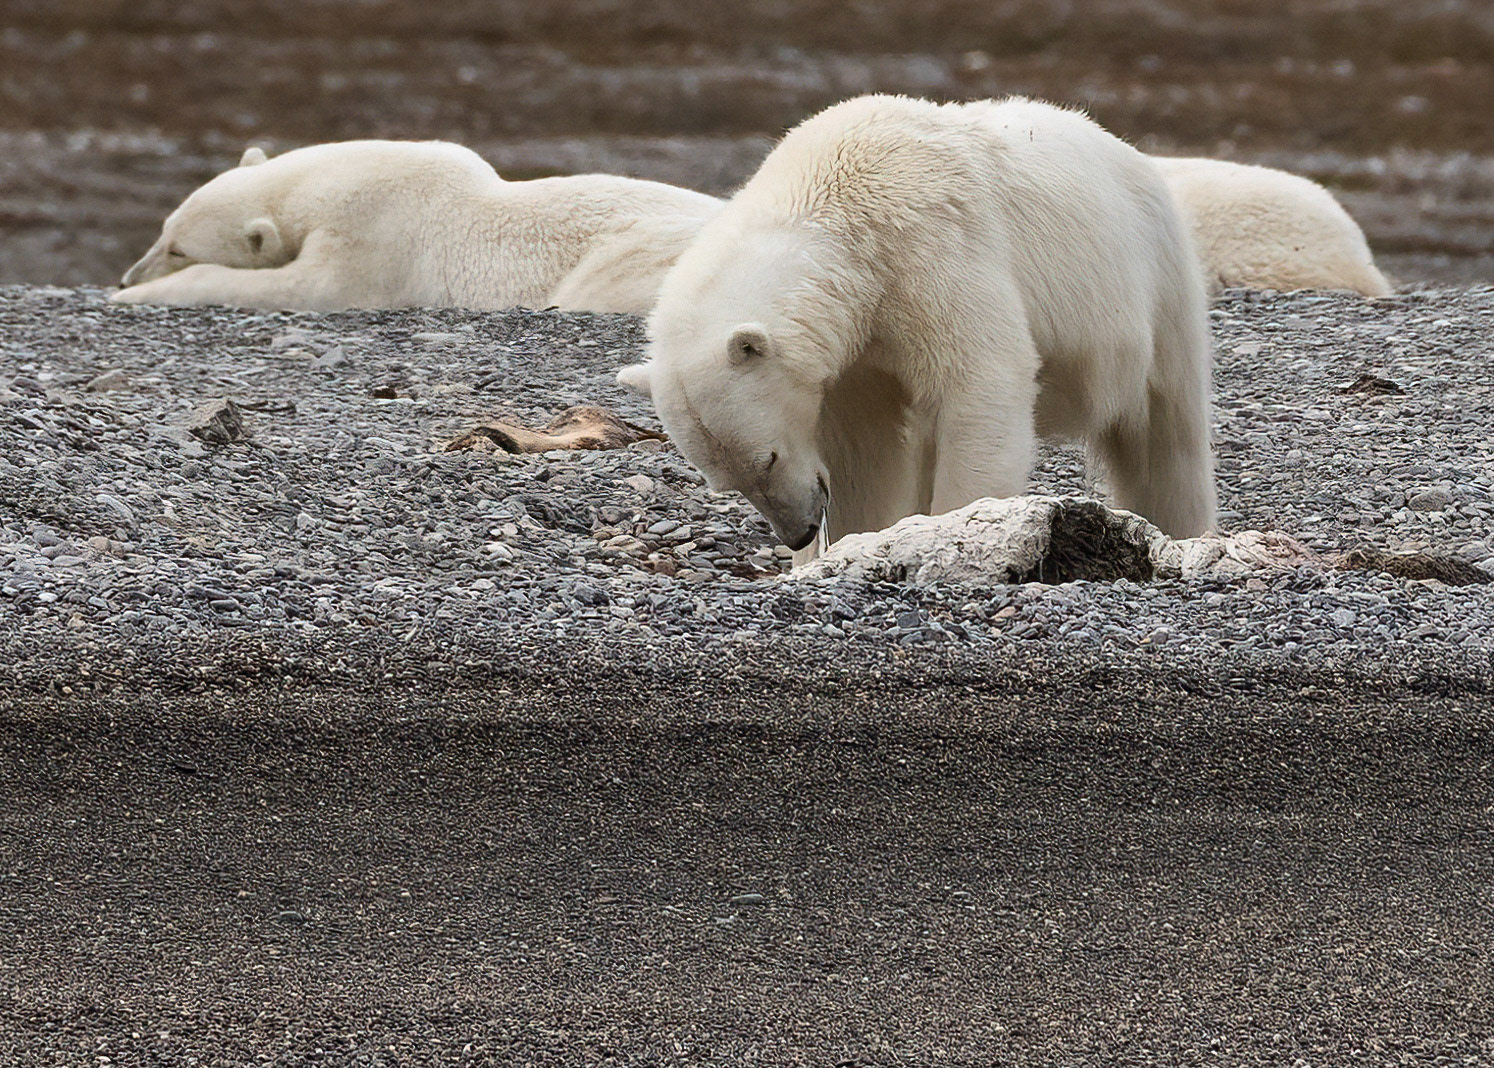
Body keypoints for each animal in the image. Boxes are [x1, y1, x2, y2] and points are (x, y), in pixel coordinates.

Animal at [617, 94, 1217, 559]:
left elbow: (979, 383)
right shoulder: (855, 349)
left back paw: (1181, 526)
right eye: (727, 479)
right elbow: (862, 448)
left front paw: (954, 527)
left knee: (1166, 429)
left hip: (1151, 277)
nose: (799, 533)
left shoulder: (929, 254)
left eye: (767, 458)